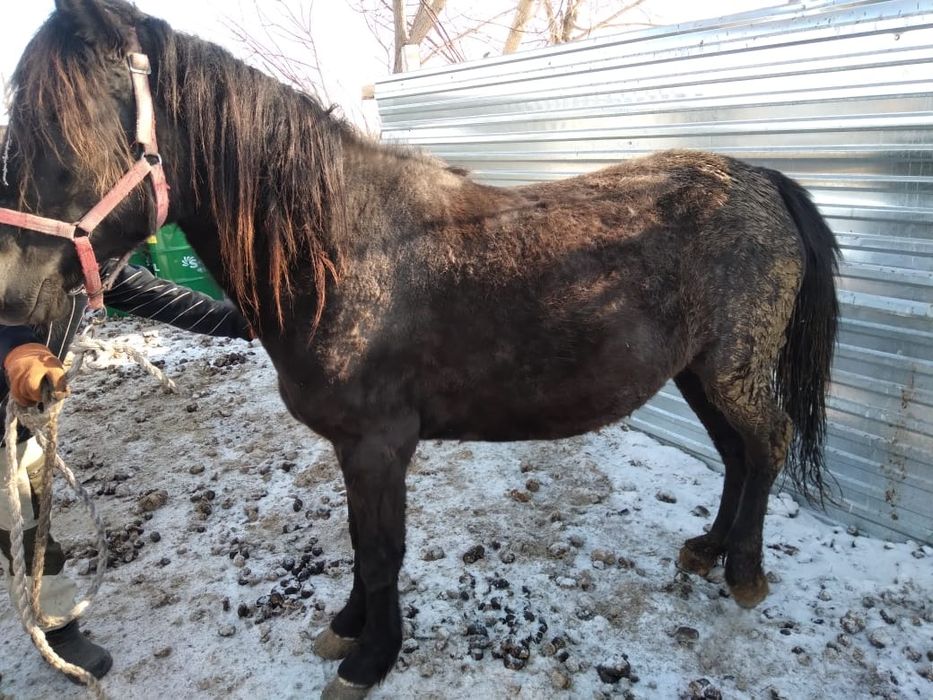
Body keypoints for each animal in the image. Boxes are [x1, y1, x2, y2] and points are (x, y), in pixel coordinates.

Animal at [0, 1, 839, 696]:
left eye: (59, 135)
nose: (13, 295)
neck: (346, 252)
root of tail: (759, 180)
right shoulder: (353, 449)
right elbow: (358, 540)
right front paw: (347, 628)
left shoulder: (379, 445)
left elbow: (381, 551)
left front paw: (370, 659)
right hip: (701, 372)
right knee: (736, 454)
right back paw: (707, 549)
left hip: (732, 370)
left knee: (766, 444)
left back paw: (744, 572)